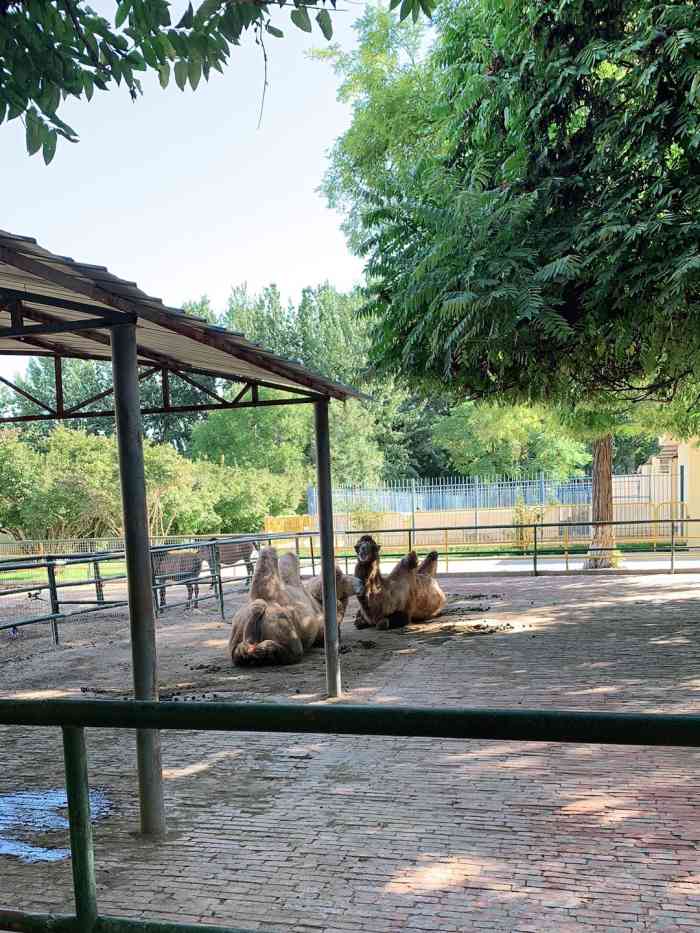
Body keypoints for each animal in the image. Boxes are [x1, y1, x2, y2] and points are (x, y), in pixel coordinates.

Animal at [230, 548, 360, 668]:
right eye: (342, 577)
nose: (360, 582)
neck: (319, 601)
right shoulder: (322, 629)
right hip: (282, 623)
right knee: (294, 651)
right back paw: (265, 650)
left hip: (238, 626)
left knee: (237, 653)